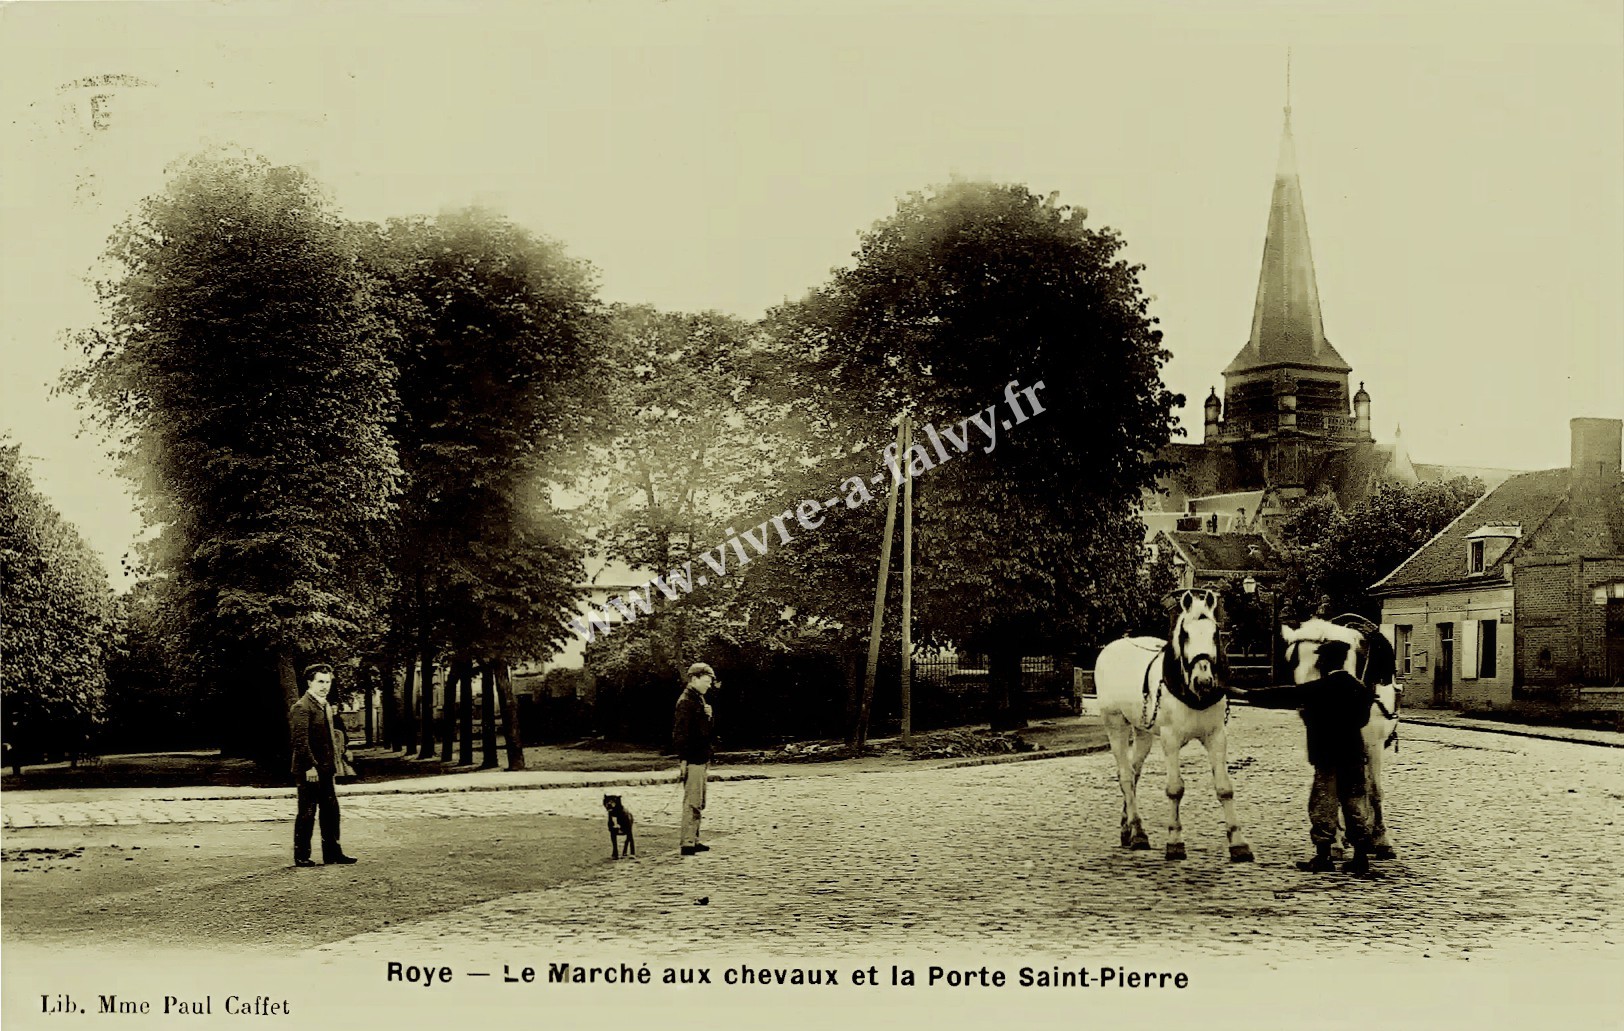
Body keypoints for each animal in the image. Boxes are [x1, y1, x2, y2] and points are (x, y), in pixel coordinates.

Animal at [1091, 587, 1253, 863]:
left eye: (1215, 633)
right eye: (1185, 633)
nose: (1203, 680)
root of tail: (1113, 646)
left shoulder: (1217, 736)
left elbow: (1224, 788)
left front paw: (1238, 843)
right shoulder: (1170, 739)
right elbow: (1175, 788)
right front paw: (1175, 841)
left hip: (1142, 730)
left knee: (1134, 773)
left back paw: (1128, 828)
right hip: (1115, 723)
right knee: (1125, 776)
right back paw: (1138, 833)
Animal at [1286, 613, 1403, 863]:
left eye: (1320, 659)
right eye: (1292, 660)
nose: (1306, 708)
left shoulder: (1373, 743)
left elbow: (1375, 791)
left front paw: (1381, 840)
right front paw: (1336, 843)